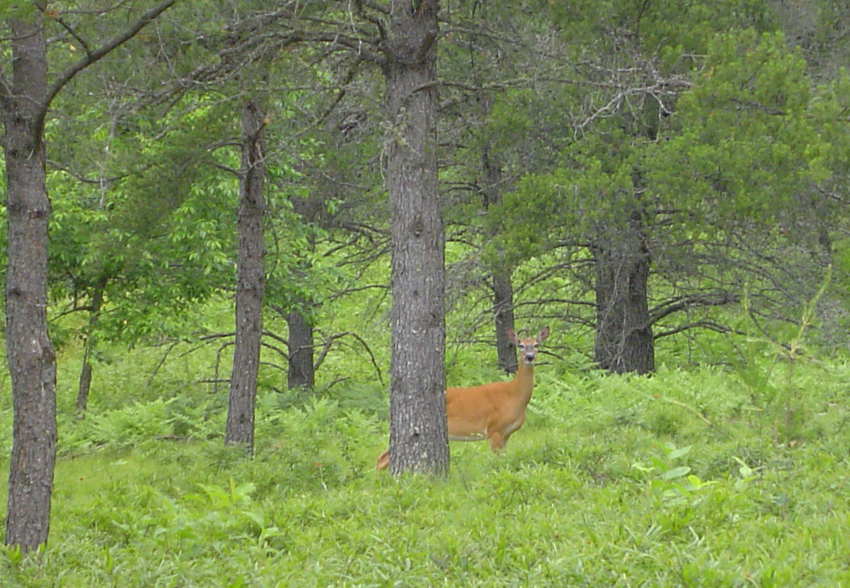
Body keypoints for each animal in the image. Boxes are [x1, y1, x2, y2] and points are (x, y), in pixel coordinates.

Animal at [376, 324, 548, 470]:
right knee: (381, 459)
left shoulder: (506, 433)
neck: (514, 395)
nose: (530, 357)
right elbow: (496, 461)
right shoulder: (494, 429)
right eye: (520, 345)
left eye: (536, 345)